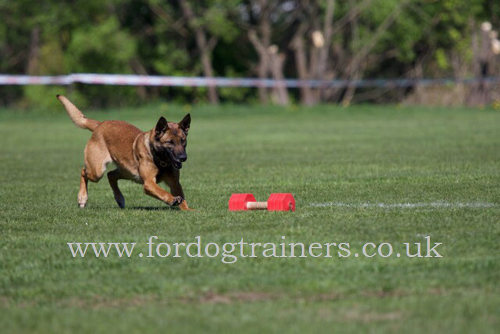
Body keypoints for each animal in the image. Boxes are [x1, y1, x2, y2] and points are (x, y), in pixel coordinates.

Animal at [57, 94, 191, 210]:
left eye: (183, 141)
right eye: (170, 142)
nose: (183, 157)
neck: (159, 159)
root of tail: (100, 124)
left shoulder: (175, 183)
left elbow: (183, 200)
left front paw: (189, 211)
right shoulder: (148, 183)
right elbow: (163, 192)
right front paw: (172, 199)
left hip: (128, 172)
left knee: (110, 175)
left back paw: (119, 198)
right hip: (97, 171)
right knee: (84, 171)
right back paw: (82, 198)